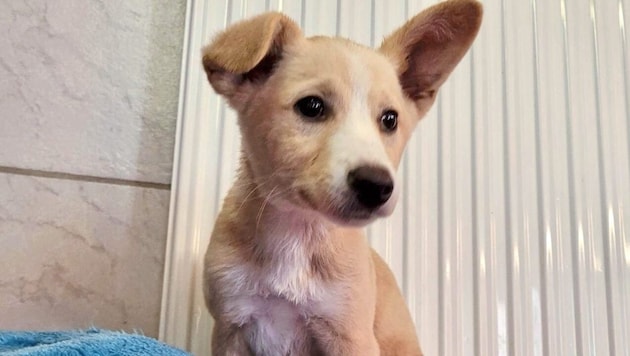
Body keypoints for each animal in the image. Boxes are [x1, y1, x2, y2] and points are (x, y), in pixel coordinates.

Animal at [202, 1, 484, 354]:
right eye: (311, 106)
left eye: (390, 119)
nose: (377, 186)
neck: (297, 233)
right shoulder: (231, 327)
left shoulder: (350, 334)